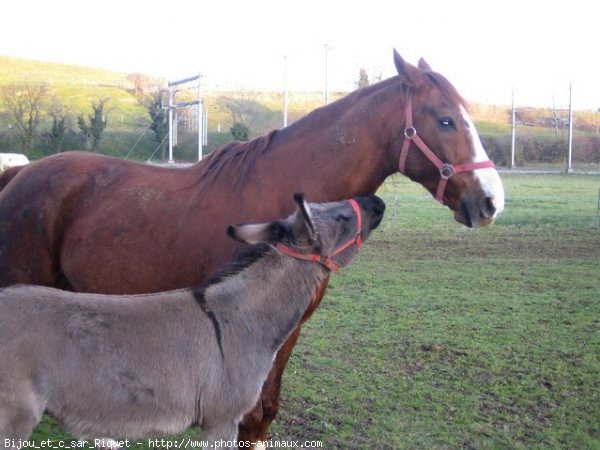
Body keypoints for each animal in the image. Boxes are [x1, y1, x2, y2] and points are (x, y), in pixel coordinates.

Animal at [0, 51, 506, 444]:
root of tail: (20, 173)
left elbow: (266, 413)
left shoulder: (287, 330)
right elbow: (250, 414)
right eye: (445, 119)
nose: (491, 201)